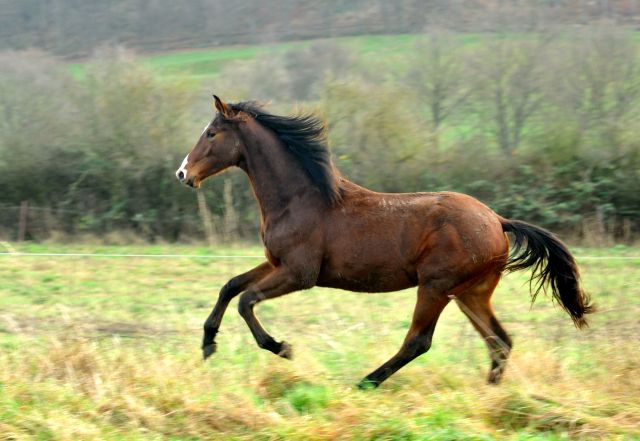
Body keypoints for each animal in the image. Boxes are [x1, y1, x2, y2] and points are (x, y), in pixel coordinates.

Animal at [175, 95, 596, 384]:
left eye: (212, 133)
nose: (182, 174)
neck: (300, 199)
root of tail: (498, 220)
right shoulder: (276, 263)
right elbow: (231, 286)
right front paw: (208, 344)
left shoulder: (299, 273)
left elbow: (246, 300)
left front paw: (283, 348)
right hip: (471, 293)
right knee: (500, 341)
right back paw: (491, 395)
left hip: (436, 287)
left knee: (419, 342)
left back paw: (365, 382)